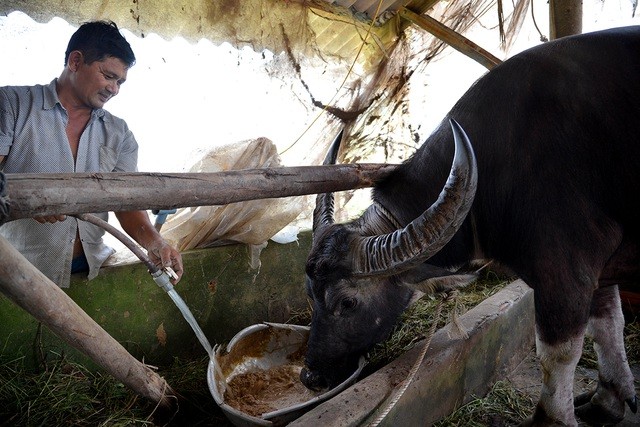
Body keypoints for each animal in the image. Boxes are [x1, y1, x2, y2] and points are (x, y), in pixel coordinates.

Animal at [302, 25, 640, 426]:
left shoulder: (566, 274)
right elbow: (608, 325)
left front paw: (552, 418)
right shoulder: (601, 273)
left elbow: (556, 356)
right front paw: (607, 402)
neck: (502, 163)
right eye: (309, 293)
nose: (310, 376)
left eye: (348, 302)